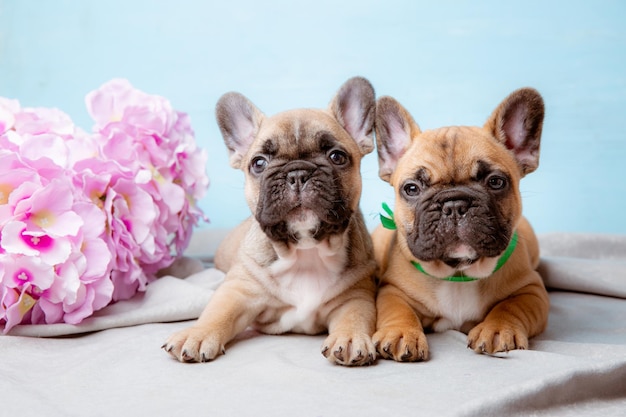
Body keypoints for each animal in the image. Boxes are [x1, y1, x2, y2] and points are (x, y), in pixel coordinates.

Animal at [163, 76, 376, 366]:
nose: (297, 173)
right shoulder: (239, 290)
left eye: (337, 156)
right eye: (259, 163)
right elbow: (216, 312)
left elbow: (355, 316)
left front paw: (351, 338)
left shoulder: (356, 296)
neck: (306, 252)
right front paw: (197, 333)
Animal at [370, 88, 544, 360]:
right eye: (411, 188)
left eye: (496, 182)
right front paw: (400, 333)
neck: (458, 273)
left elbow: (511, 306)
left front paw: (497, 329)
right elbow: (398, 309)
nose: (454, 205)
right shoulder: (392, 290)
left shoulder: (531, 289)